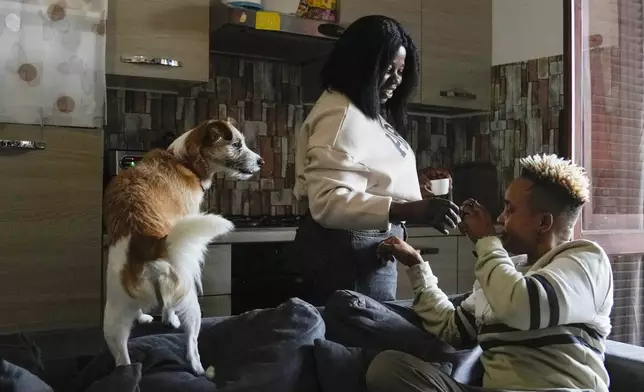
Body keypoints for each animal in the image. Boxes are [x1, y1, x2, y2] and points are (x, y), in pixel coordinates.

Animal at [102, 118, 260, 376]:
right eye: (236, 144)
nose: (261, 161)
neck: (183, 161)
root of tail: (146, 245)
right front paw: (169, 319)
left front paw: (144, 317)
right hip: (190, 299)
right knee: (191, 345)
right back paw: (201, 369)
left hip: (115, 317)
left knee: (122, 357)